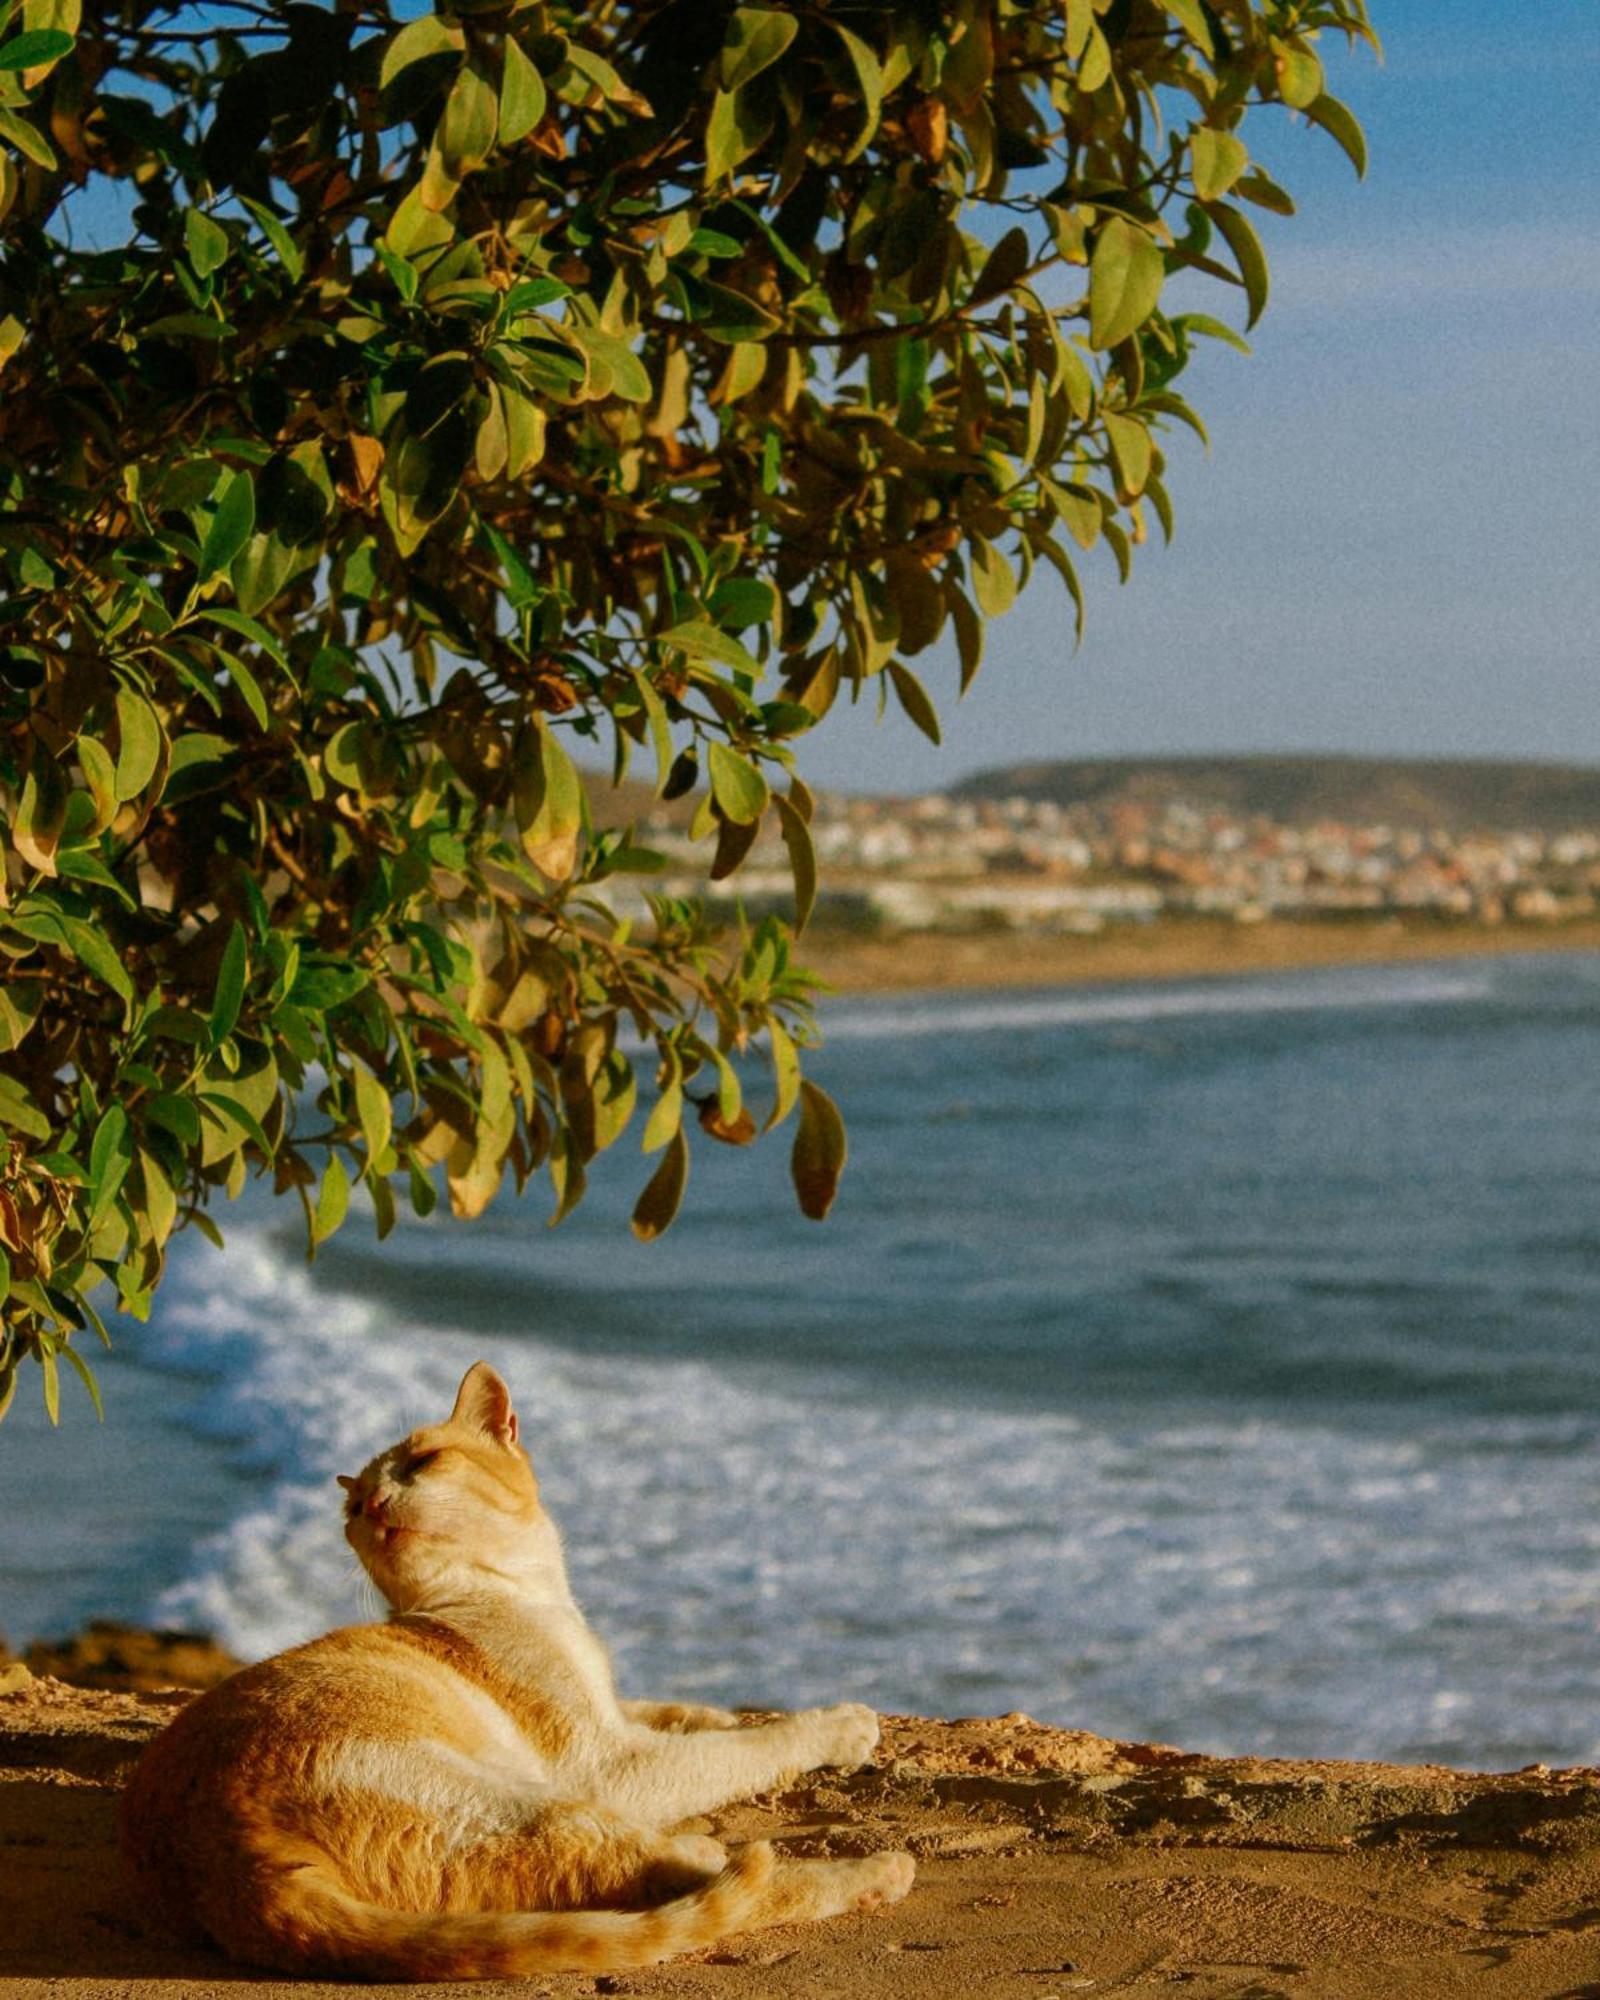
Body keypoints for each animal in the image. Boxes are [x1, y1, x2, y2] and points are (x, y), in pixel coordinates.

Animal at [122, 1368, 912, 1976]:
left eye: (423, 1463)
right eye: (351, 1504)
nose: (369, 1503)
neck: (519, 1593)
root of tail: (226, 1861)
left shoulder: (612, 1714)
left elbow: (675, 1712)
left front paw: (714, 1711)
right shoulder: (613, 1764)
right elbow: (747, 1747)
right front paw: (838, 1726)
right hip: (520, 1808)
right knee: (698, 1878)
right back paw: (859, 1870)